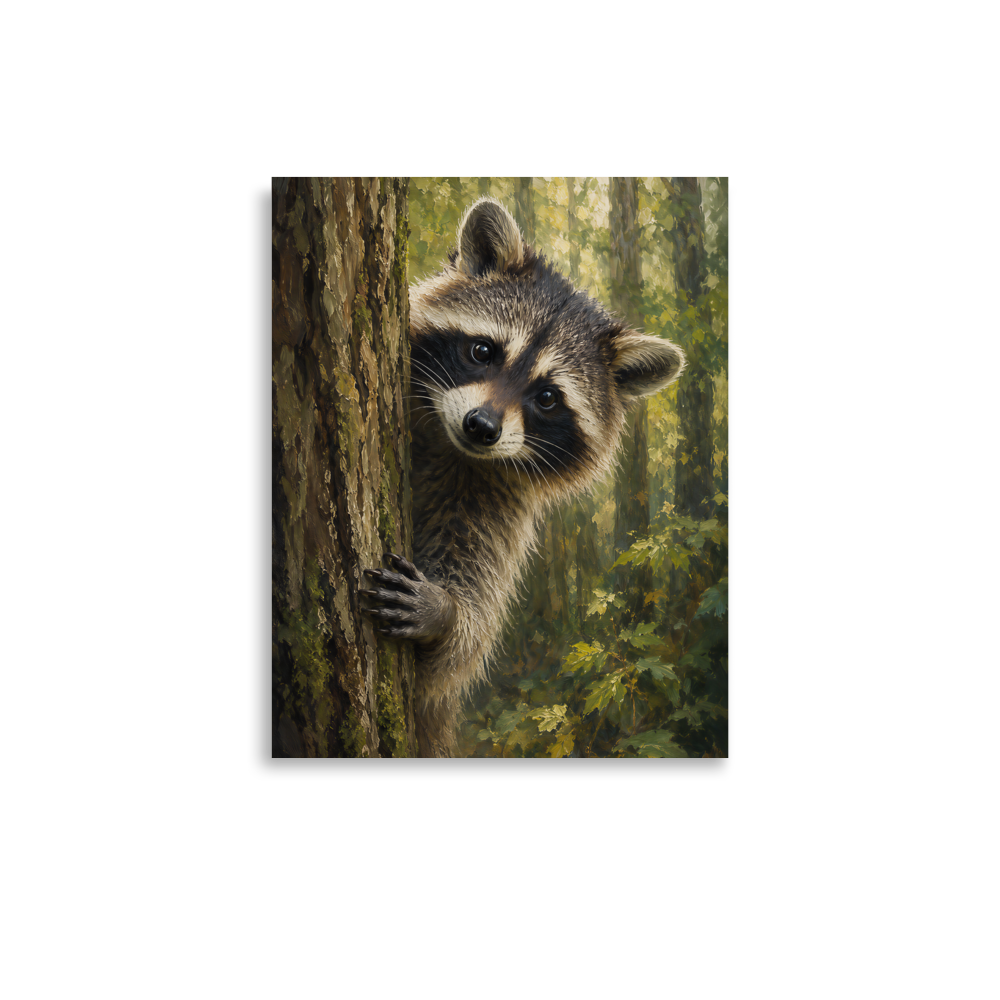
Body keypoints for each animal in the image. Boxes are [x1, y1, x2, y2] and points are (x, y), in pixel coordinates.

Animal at [361, 196, 685, 757]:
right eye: (483, 351)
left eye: (548, 397)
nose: (482, 426)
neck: (450, 446)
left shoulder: (496, 504)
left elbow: (459, 649)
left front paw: (447, 615)